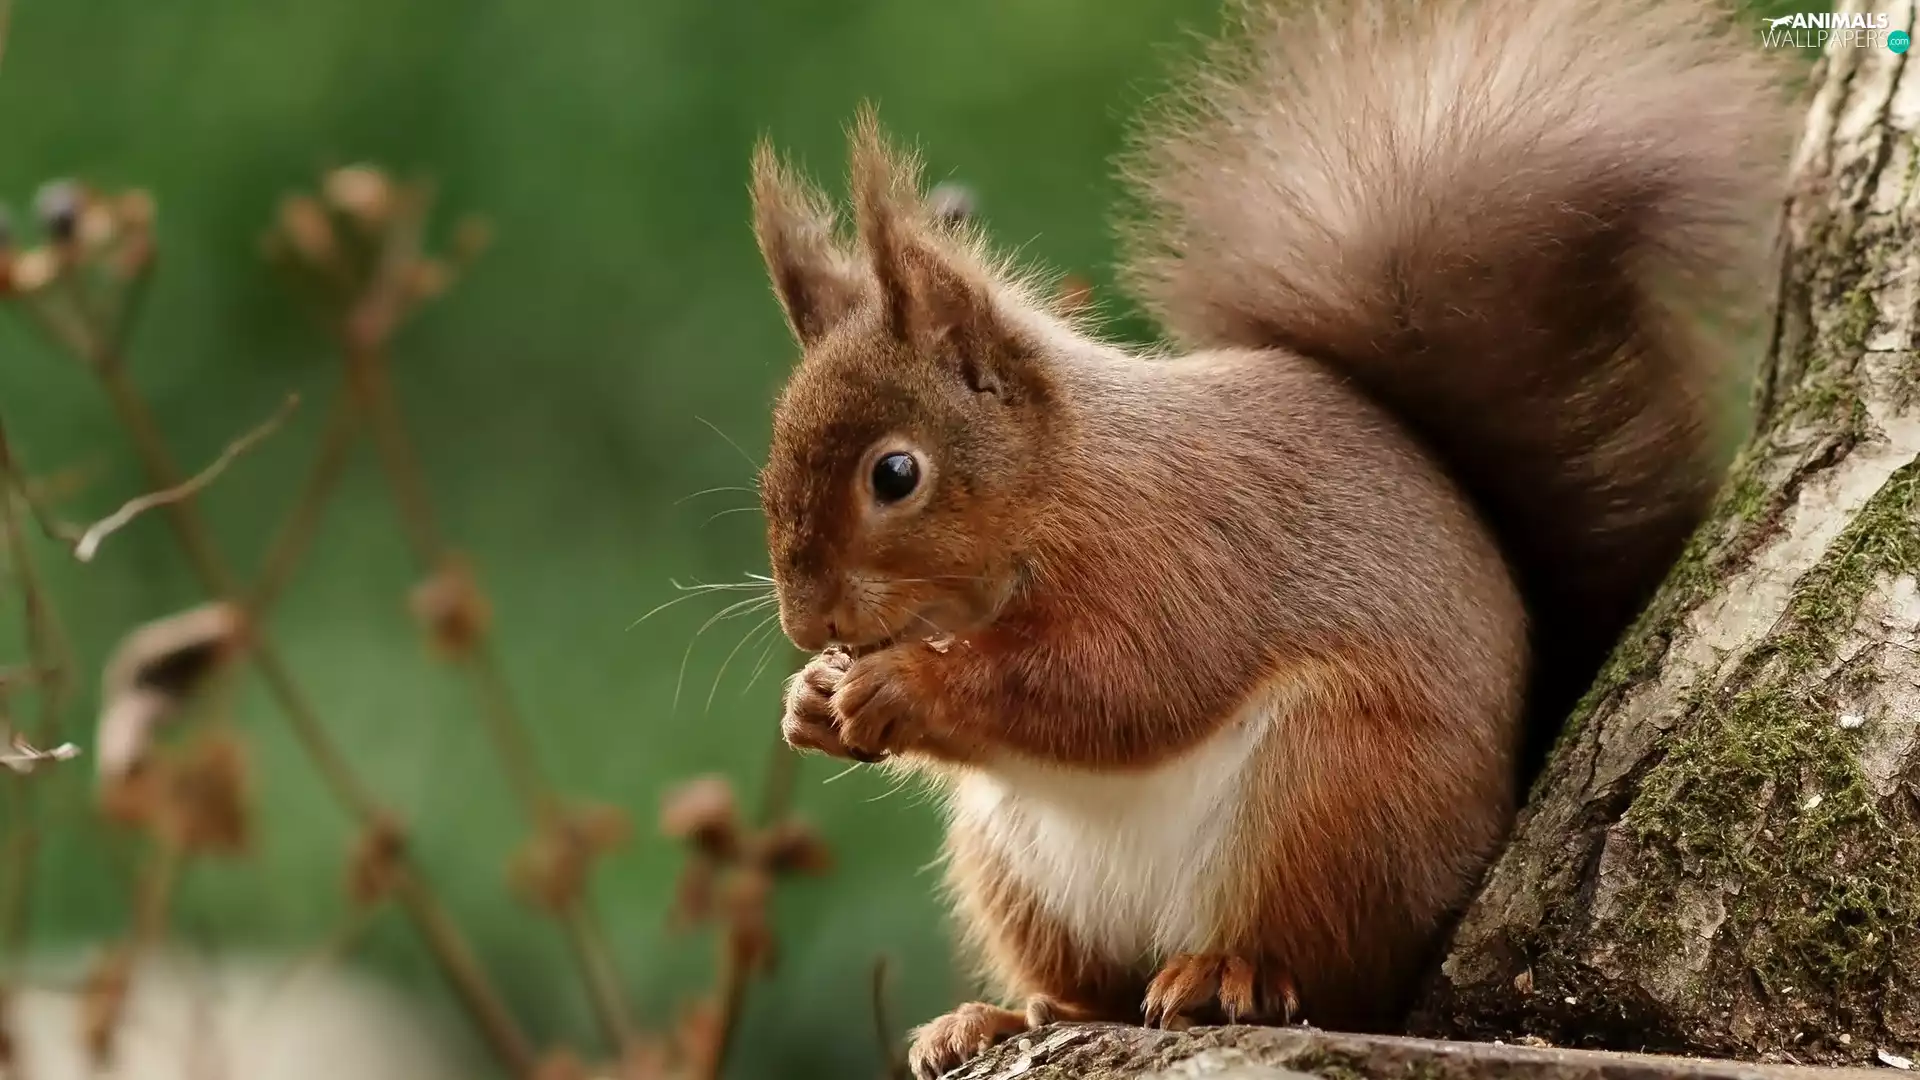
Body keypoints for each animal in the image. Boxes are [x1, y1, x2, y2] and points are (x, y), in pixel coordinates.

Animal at [747, 0, 1789, 1075]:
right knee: (1095, 991)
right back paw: (997, 1018)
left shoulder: (1174, 552)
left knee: (1323, 969)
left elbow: (1116, 686)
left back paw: (1224, 975)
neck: (1062, 481)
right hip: (1016, 868)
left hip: (1330, 795)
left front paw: (898, 686)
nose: (806, 623)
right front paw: (811, 701)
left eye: (895, 475)